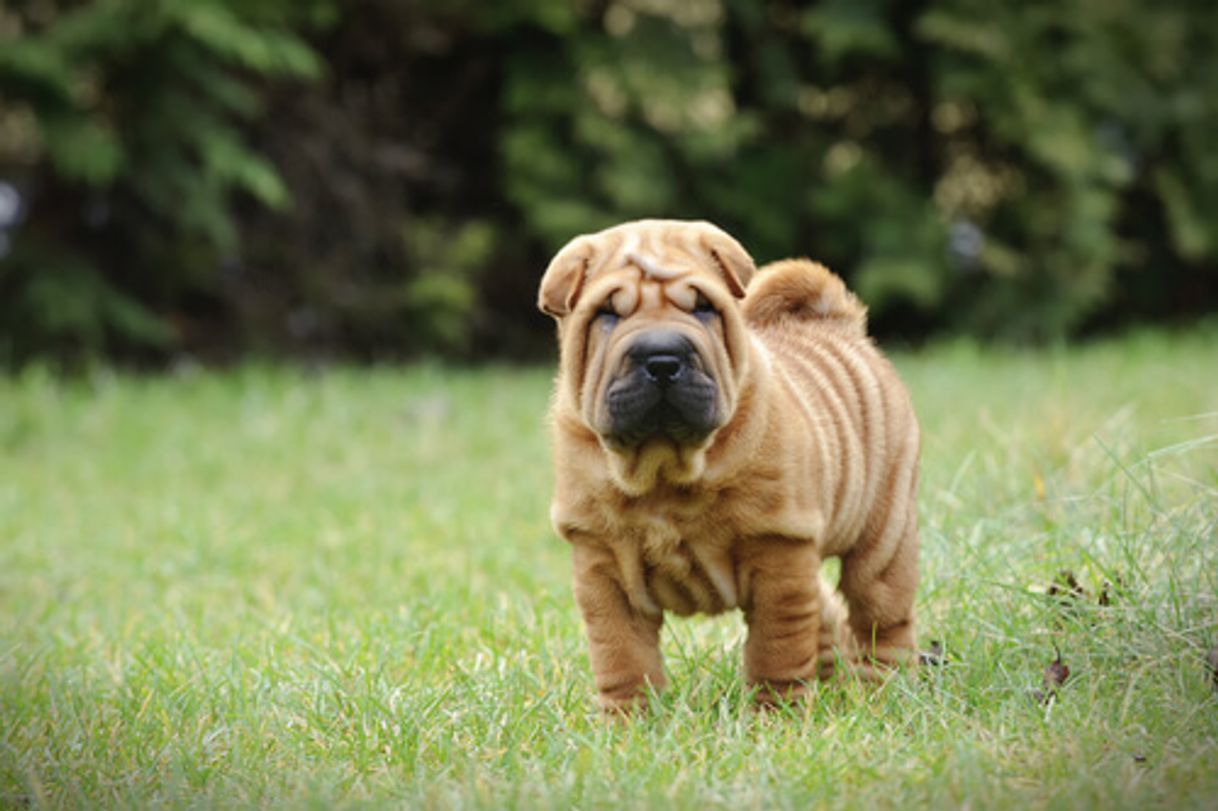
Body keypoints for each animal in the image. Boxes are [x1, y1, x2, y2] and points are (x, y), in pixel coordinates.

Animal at [538, 217, 915, 706]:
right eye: (608, 313)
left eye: (703, 307)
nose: (662, 358)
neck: (663, 468)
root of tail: (839, 324)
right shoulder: (601, 564)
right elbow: (622, 656)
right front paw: (630, 718)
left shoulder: (779, 548)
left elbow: (777, 647)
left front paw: (778, 713)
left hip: (884, 532)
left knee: (881, 614)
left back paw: (886, 689)